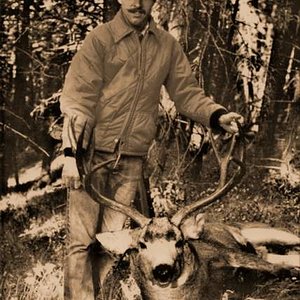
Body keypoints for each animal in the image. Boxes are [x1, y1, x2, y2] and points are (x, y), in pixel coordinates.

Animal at [68, 118, 300, 300]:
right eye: (142, 244)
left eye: (180, 242)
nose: (163, 269)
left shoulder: (230, 254)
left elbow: (274, 269)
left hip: (270, 231)